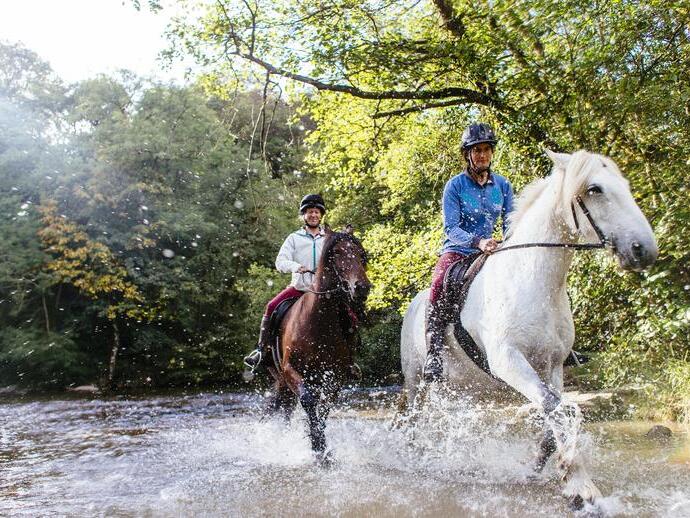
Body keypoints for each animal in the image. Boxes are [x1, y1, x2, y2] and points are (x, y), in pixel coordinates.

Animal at [268, 227, 370, 463]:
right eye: (337, 253)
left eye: (361, 254)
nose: (362, 288)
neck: (317, 322)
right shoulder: (290, 370)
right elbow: (308, 400)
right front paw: (317, 446)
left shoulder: (335, 376)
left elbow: (324, 407)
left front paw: (322, 448)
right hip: (282, 379)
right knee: (287, 409)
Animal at [399, 150, 658, 509]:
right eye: (595, 189)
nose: (643, 249)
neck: (535, 281)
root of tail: (412, 306)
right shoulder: (509, 360)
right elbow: (560, 411)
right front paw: (581, 485)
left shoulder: (552, 366)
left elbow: (555, 416)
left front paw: (545, 470)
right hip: (417, 383)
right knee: (414, 423)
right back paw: (416, 460)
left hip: (465, 388)